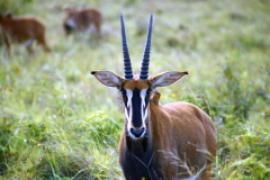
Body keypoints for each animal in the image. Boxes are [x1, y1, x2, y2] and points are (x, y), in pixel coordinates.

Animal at [92, 14, 216, 180]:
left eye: (149, 91)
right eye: (123, 92)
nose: (137, 130)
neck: (140, 151)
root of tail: (202, 114)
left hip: (206, 172)